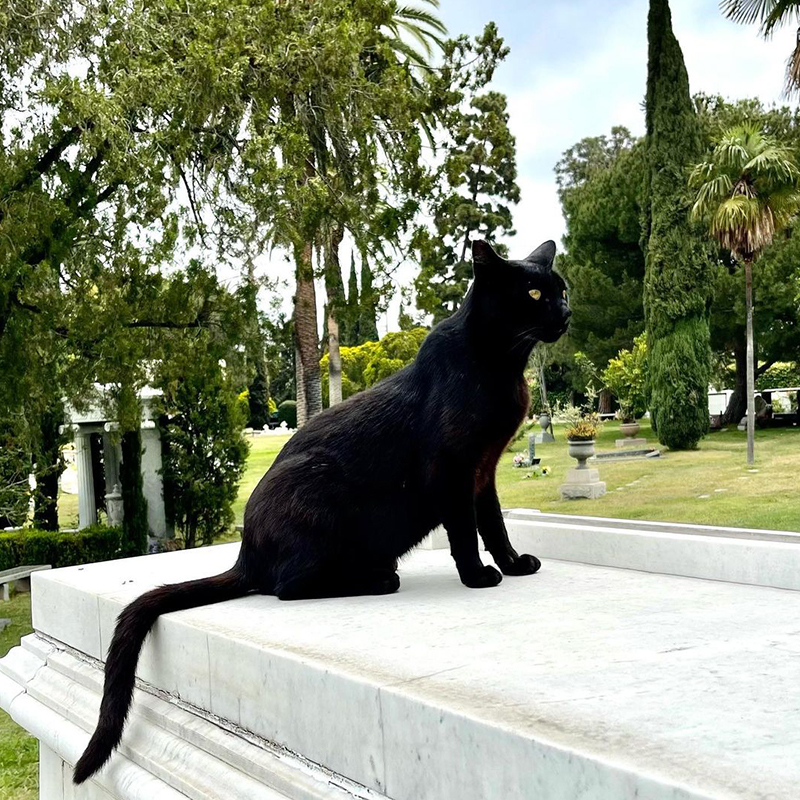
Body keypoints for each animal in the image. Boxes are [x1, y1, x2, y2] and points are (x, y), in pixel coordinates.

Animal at [73, 238, 568, 780]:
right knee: (288, 586)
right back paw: (377, 580)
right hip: (318, 499)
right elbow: (464, 533)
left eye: (561, 291)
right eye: (535, 293)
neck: (501, 365)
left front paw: (513, 564)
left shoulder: (484, 472)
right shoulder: (454, 472)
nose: (565, 312)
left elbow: (494, 526)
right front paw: (477, 576)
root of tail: (246, 552)